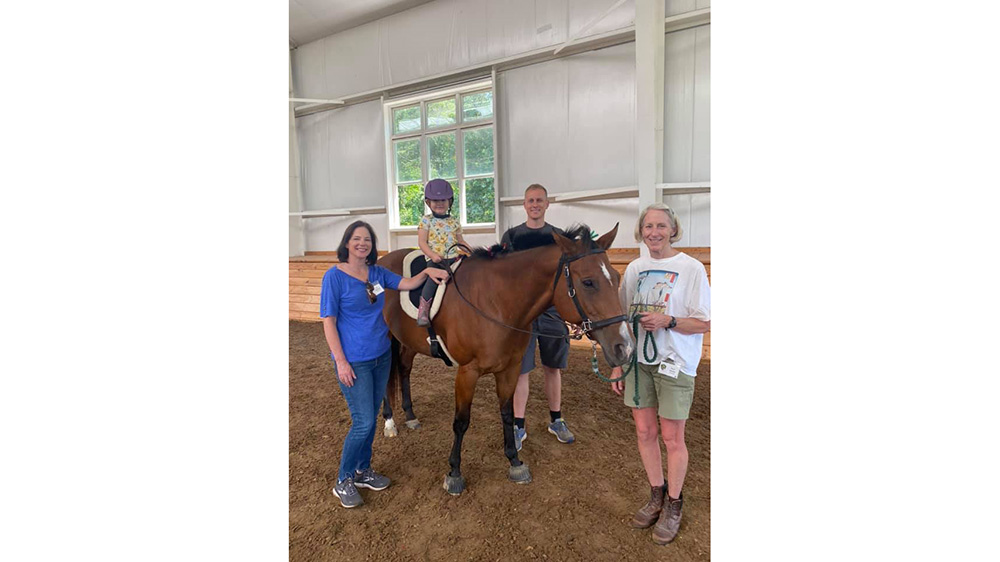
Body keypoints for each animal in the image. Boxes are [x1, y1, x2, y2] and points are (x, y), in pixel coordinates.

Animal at [378, 223, 636, 494]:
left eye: (616, 278)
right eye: (588, 282)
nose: (625, 347)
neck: (496, 302)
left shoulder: (509, 369)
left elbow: (508, 414)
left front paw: (515, 461)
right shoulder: (467, 372)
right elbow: (461, 422)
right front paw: (455, 473)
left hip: (408, 342)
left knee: (404, 369)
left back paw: (410, 416)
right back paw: (390, 422)